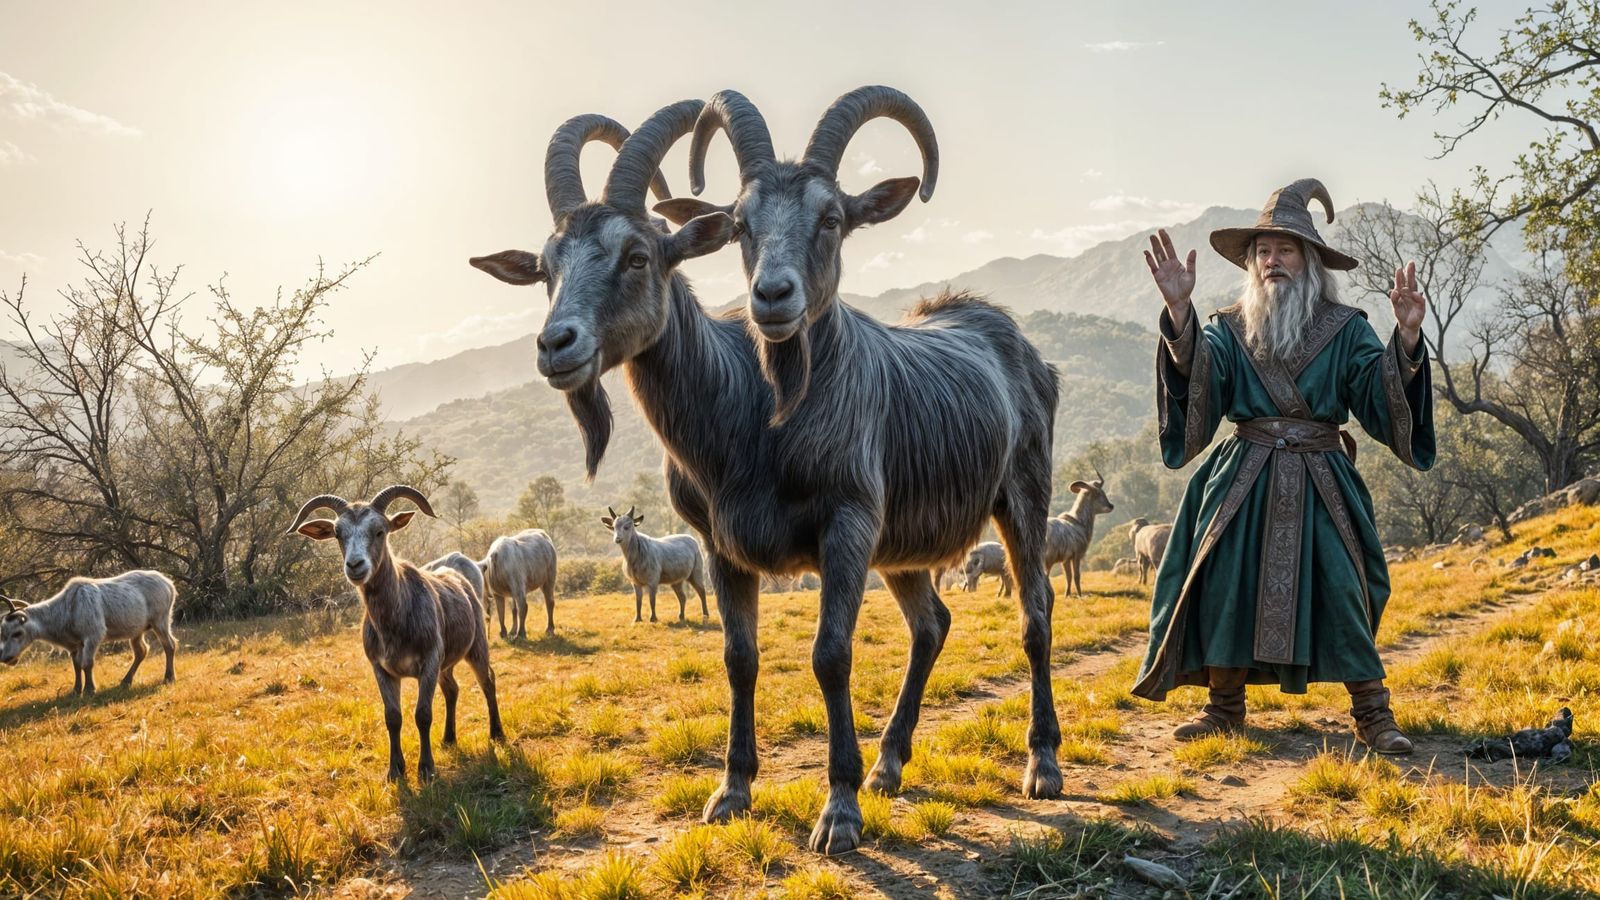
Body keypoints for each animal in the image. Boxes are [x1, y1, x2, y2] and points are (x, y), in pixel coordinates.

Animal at [0, 570, 177, 695]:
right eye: (3, 633)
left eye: (17, 633)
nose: (6, 658)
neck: (67, 609)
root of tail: (169, 583)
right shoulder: (75, 644)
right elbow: (77, 665)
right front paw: (76, 690)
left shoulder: (93, 636)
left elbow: (87, 663)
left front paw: (89, 689)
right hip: (137, 630)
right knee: (141, 651)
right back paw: (126, 681)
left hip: (160, 621)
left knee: (170, 645)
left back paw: (169, 677)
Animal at [290, 485, 504, 783]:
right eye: (338, 533)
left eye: (380, 531)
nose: (355, 565)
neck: (396, 619)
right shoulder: (382, 668)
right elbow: (393, 716)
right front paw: (395, 770)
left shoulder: (429, 660)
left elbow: (423, 714)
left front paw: (426, 769)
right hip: (445, 662)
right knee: (451, 688)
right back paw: (449, 739)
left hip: (476, 646)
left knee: (488, 681)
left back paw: (497, 734)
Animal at [471, 96, 1058, 856]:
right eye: (547, 267)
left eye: (638, 255)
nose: (555, 344)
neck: (755, 410)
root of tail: (1009, 337)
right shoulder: (720, 546)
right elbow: (738, 657)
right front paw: (732, 790)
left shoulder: (847, 525)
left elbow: (830, 654)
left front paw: (838, 809)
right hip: (902, 547)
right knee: (932, 624)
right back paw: (890, 763)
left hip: (1022, 500)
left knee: (1035, 614)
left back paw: (1041, 763)